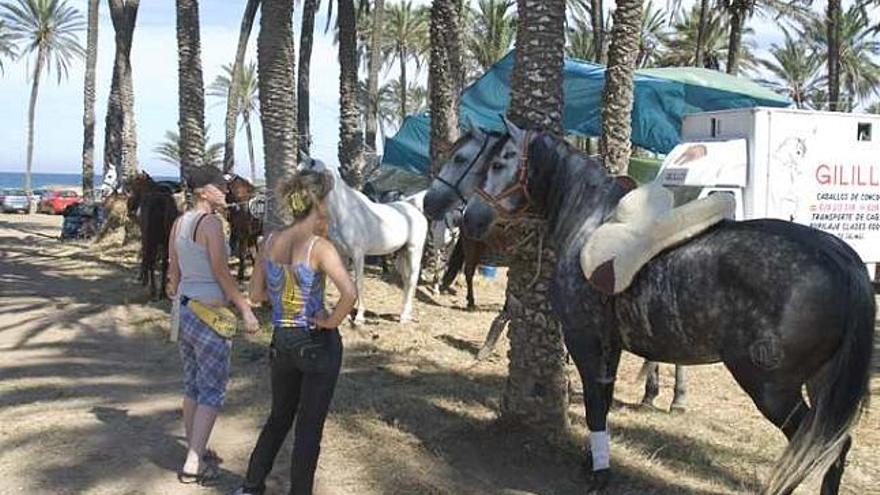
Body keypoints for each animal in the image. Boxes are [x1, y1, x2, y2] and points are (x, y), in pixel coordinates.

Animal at [129, 170, 180, 302]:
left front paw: (143, 278)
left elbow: (145, 255)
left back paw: (153, 291)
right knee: (165, 263)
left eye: (133, 187)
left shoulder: (145, 236)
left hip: (152, 240)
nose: (129, 205)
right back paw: (163, 292)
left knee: (152, 261)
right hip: (166, 241)